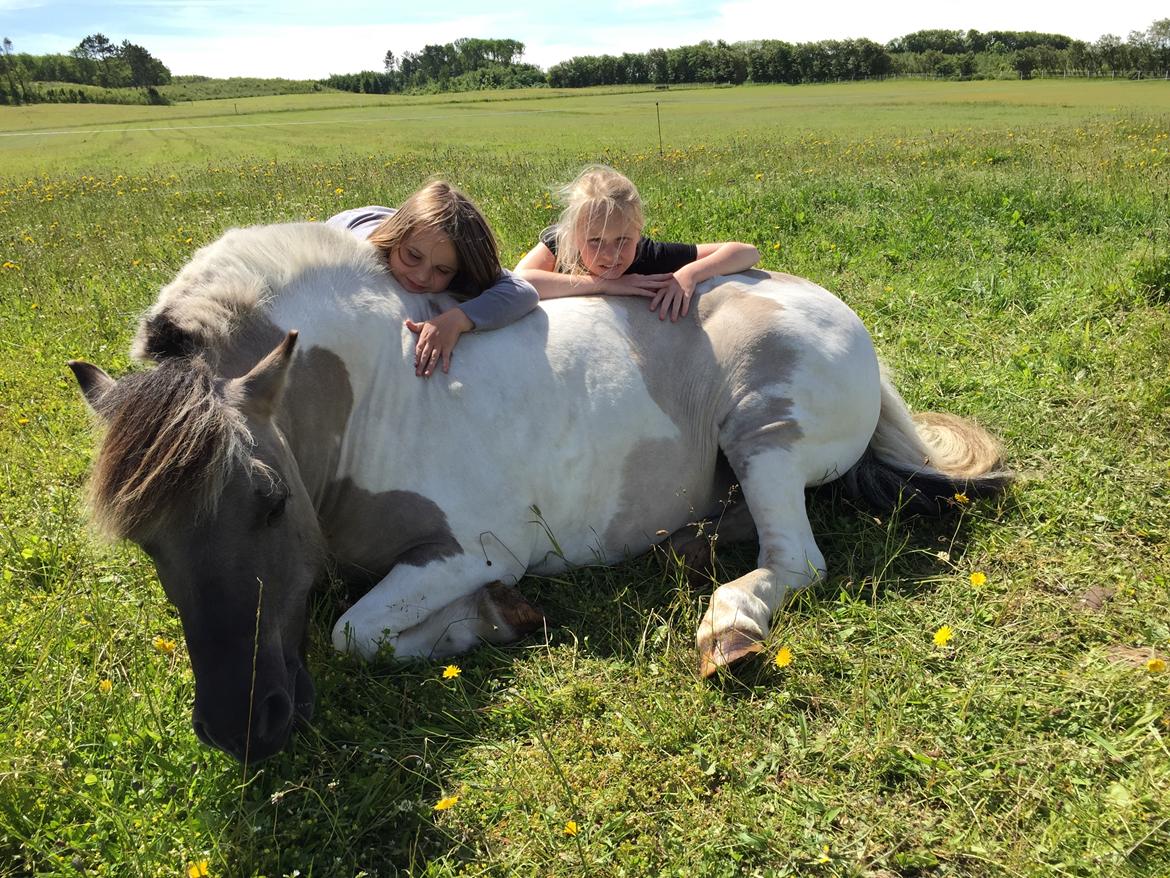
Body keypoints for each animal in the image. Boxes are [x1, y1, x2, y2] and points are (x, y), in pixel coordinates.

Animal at [68, 221, 1010, 763]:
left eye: (268, 499)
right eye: (148, 540)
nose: (241, 728)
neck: (382, 394)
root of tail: (844, 321)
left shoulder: (472, 549)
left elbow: (353, 633)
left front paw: (494, 619)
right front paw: (502, 619)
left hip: (763, 436)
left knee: (797, 561)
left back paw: (728, 628)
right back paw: (692, 544)